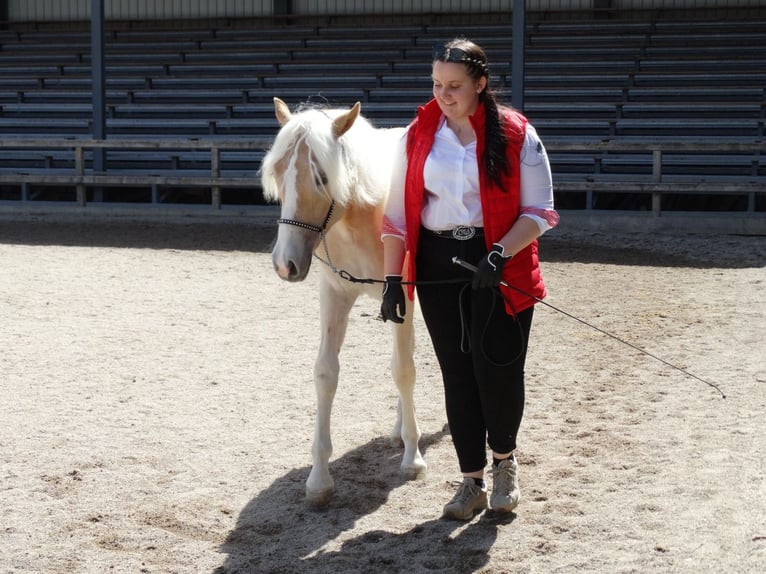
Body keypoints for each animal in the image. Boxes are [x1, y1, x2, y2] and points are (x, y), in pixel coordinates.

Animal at [258, 99, 426, 508]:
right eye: (278, 172)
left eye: (322, 177)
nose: (285, 264)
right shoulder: (336, 295)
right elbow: (326, 373)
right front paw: (319, 479)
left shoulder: (404, 295)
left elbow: (404, 370)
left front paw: (413, 458)